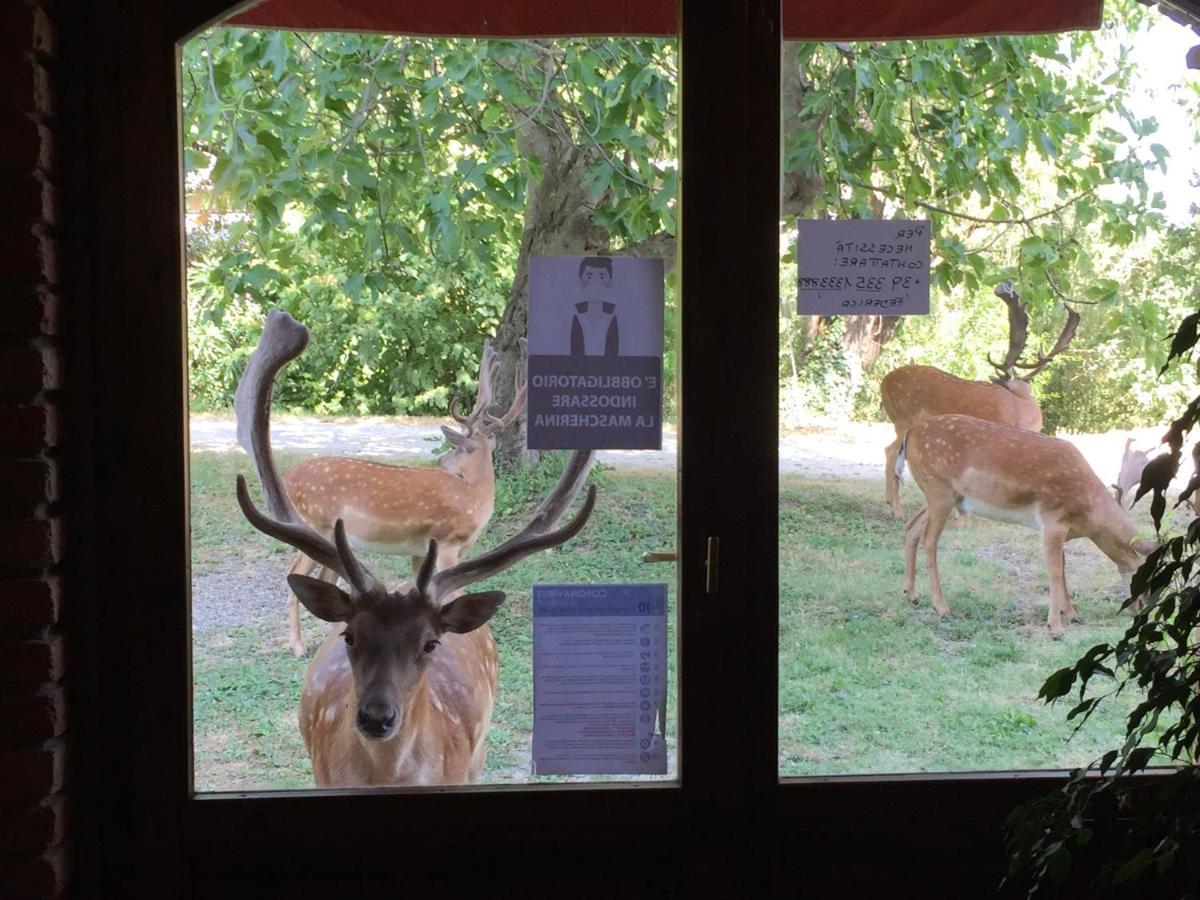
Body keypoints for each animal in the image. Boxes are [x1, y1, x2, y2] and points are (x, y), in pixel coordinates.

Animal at [236, 328, 528, 657]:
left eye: (456, 447)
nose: (441, 461)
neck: (476, 496)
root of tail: (287, 479)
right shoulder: (448, 543)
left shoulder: (421, 549)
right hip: (314, 524)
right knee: (294, 576)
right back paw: (299, 647)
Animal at [878, 282, 1084, 520]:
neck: (1023, 412)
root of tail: (883, 382)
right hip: (902, 418)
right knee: (891, 451)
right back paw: (896, 509)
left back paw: (890, 502)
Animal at [902, 415, 1152, 633]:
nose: (1142, 610)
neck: (1087, 515)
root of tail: (910, 433)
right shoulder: (1052, 519)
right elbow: (1054, 571)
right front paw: (1055, 626)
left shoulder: (1061, 530)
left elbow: (1063, 568)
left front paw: (1071, 614)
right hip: (938, 488)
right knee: (929, 541)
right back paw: (942, 608)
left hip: (942, 496)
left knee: (912, 527)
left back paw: (911, 594)